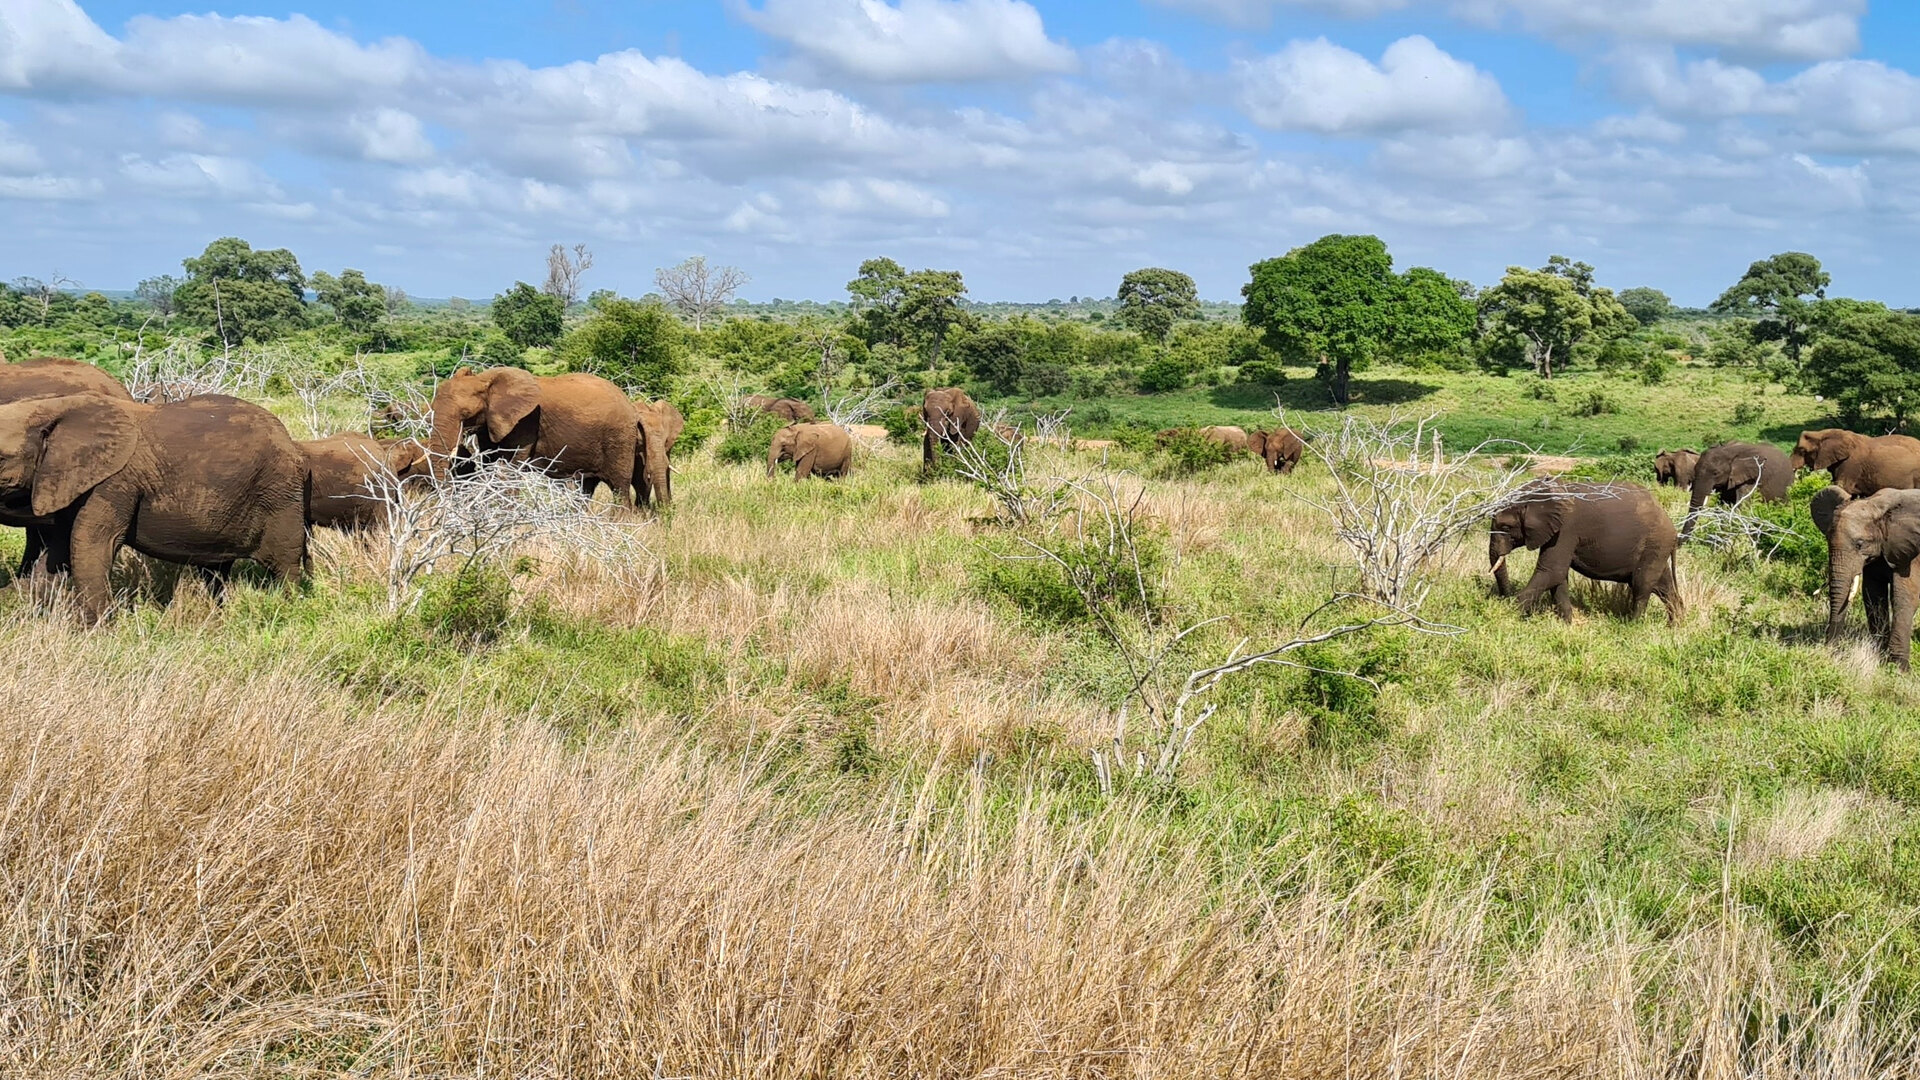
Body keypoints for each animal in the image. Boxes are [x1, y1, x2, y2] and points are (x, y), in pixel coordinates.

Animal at [0, 393, 306, 622]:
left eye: (1, 458)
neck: (55, 407)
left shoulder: (115, 480)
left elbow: (91, 543)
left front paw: (94, 633)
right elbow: (60, 549)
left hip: (280, 495)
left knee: (284, 565)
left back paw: (287, 609)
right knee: (216, 572)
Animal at [428, 367, 638, 505]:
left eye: (466, 414)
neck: (484, 380)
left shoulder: (526, 421)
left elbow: (510, 467)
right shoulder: (490, 423)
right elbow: (490, 463)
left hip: (620, 438)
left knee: (619, 487)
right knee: (586, 487)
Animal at [1488, 480, 1683, 625]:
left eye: (1506, 527)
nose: (1503, 598)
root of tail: (1673, 529)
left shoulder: (1566, 529)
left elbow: (1552, 571)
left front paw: (1509, 614)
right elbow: (1558, 577)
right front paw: (1566, 624)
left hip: (1655, 544)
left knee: (1642, 585)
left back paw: (1631, 626)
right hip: (1657, 548)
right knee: (1663, 587)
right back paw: (1674, 627)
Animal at [1812, 485, 1920, 671]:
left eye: (1860, 544)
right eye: (1827, 539)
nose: (1831, 652)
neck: (1876, 505)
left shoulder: (1911, 554)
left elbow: (1904, 597)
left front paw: (1898, 670)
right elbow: (1873, 594)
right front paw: (1878, 656)